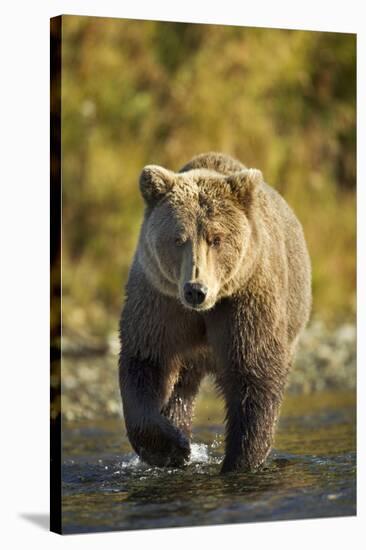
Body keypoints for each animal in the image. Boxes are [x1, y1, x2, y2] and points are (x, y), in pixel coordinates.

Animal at [118, 152, 312, 474]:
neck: (205, 310)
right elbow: (146, 362)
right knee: (181, 388)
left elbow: (254, 374)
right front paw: (172, 448)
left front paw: (239, 461)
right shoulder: (160, 302)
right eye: (178, 238)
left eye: (216, 238)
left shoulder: (245, 301)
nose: (196, 290)